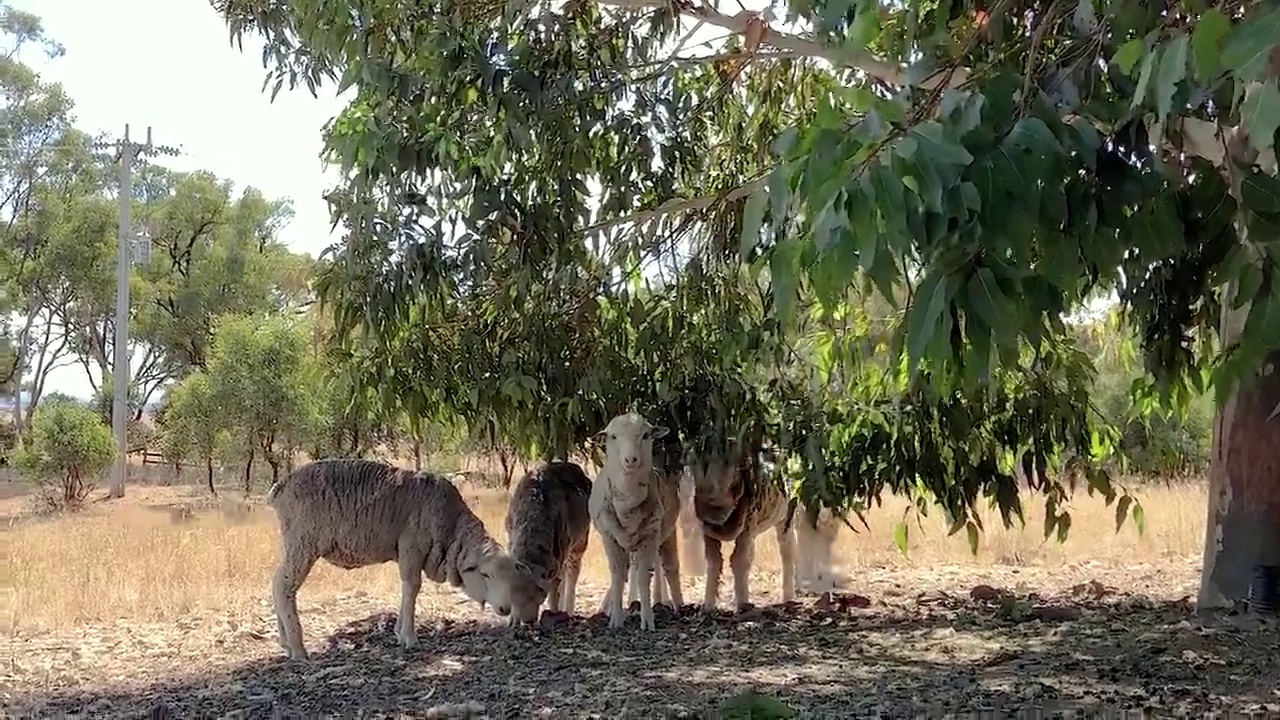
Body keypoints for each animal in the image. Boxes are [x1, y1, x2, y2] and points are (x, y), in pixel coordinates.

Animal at [267, 456, 532, 661]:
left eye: (511, 577)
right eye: (485, 574)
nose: (505, 609)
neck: (451, 527)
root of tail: (281, 486)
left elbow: (407, 589)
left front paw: (398, 631)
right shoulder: (411, 547)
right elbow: (412, 588)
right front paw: (409, 637)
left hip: (294, 542)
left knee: (277, 582)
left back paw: (285, 644)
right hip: (303, 540)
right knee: (284, 585)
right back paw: (298, 649)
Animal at [504, 458, 593, 622]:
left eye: (540, 596)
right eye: (516, 595)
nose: (529, 620)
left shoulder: (559, 552)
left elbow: (554, 590)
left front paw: (554, 612)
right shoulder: (510, 538)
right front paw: (513, 619)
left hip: (580, 541)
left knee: (572, 573)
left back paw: (568, 610)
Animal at [588, 409, 686, 627]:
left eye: (645, 435)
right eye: (613, 437)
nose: (631, 460)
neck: (628, 506)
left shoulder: (650, 535)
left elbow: (643, 576)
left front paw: (647, 621)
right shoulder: (610, 537)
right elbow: (617, 575)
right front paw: (616, 619)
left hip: (666, 532)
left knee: (668, 567)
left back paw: (676, 605)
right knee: (631, 570)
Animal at [686, 443, 793, 609]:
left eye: (734, 465)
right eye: (693, 463)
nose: (711, 513)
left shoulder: (748, 524)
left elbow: (739, 560)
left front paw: (742, 604)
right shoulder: (707, 531)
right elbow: (714, 561)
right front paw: (708, 605)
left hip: (785, 516)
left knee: (787, 551)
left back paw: (788, 597)